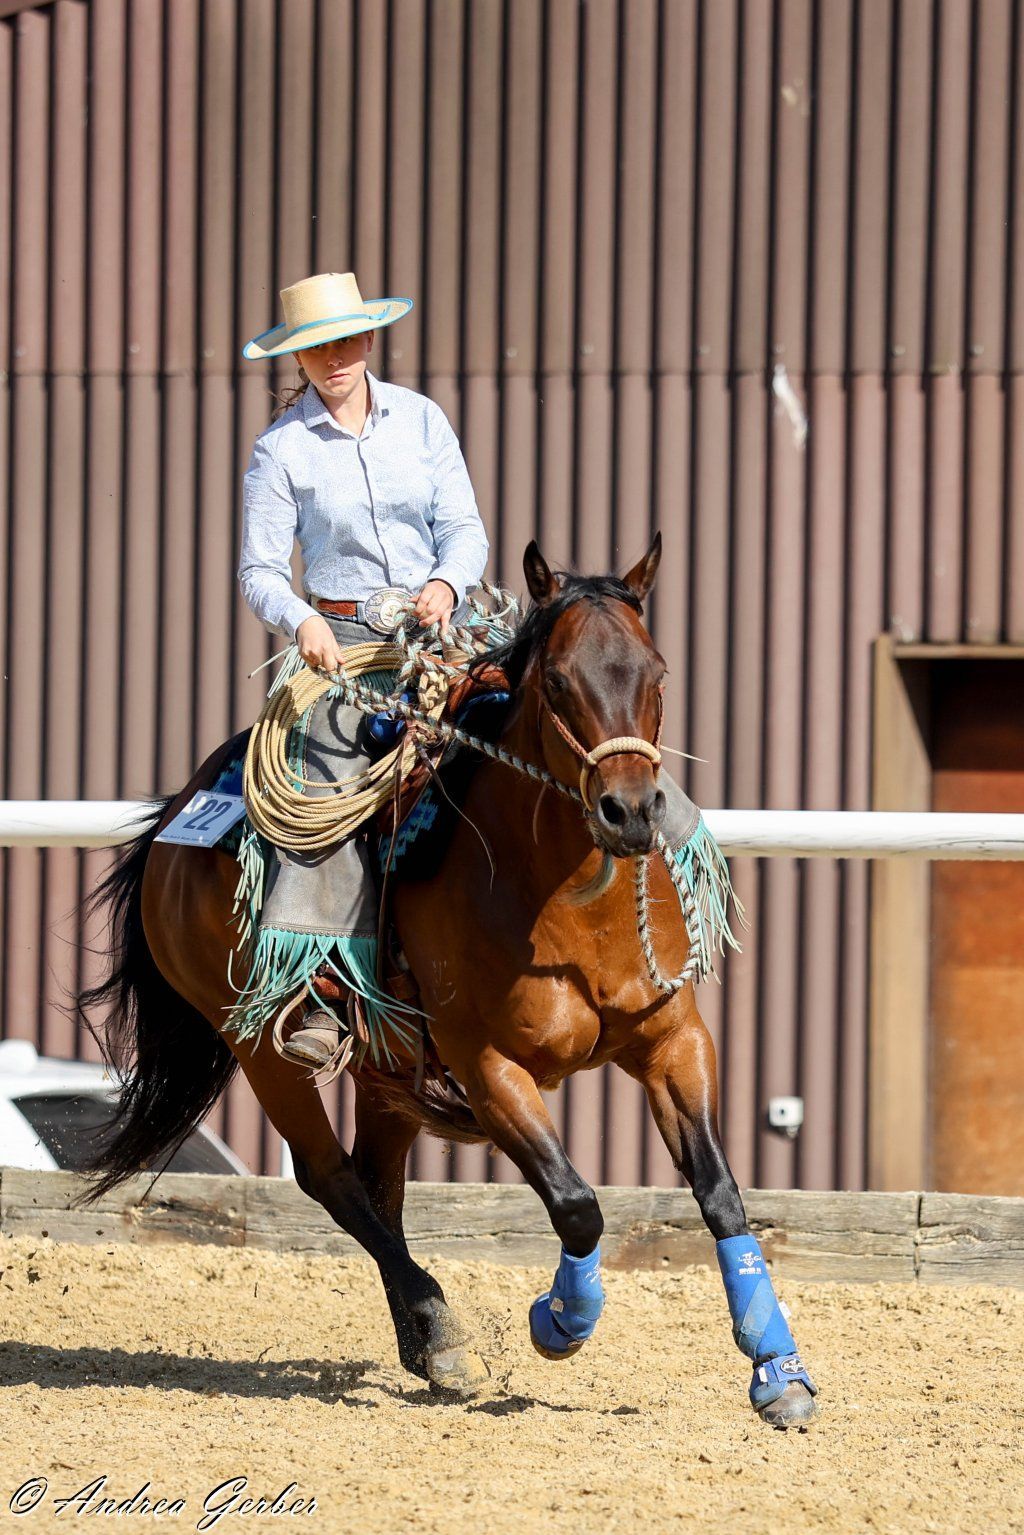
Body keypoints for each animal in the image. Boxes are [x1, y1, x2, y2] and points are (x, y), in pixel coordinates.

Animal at [75, 536, 818, 1428]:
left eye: (657, 673)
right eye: (557, 680)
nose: (630, 812)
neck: (567, 898)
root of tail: (176, 816)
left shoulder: (674, 1040)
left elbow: (720, 1191)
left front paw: (777, 1367)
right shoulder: (489, 1067)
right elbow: (577, 1203)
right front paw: (560, 1320)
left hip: (385, 1071)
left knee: (378, 1187)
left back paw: (425, 1342)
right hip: (257, 1044)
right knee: (333, 1180)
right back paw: (441, 1331)